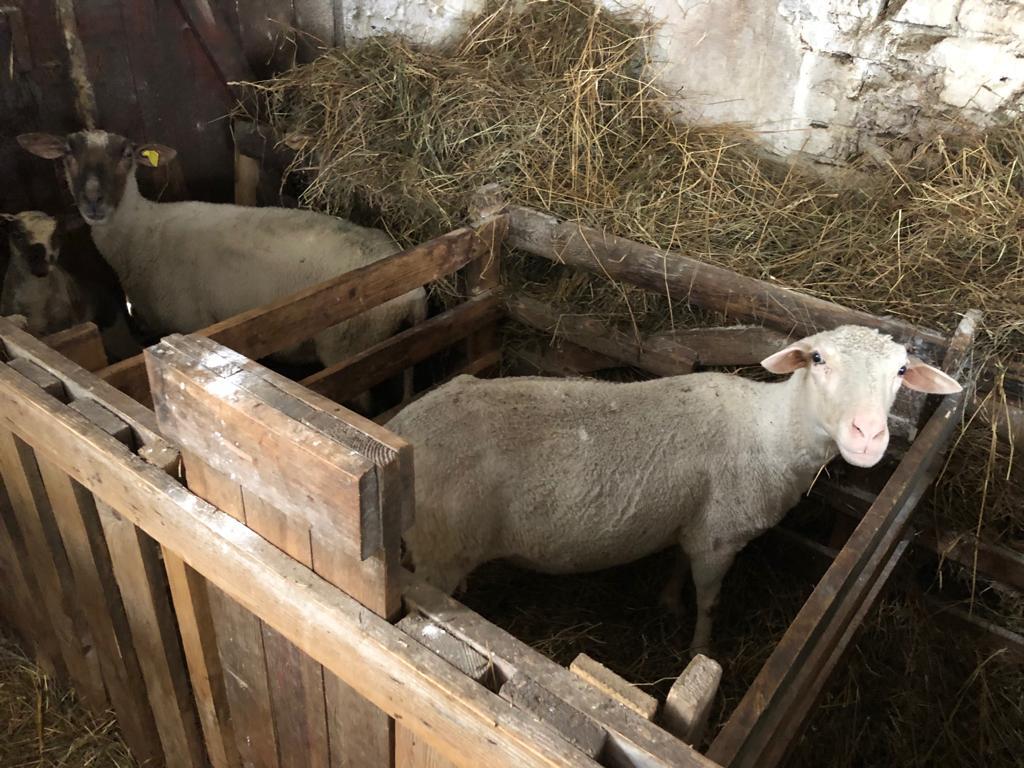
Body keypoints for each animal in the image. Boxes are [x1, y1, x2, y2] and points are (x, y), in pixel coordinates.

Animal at [17, 130, 427, 386]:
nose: (93, 202)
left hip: (349, 345)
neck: (139, 233)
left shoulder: (188, 322)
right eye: (68, 154)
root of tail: (416, 294)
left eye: (128, 155)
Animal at [386, 325, 963, 652]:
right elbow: (710, 602)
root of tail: (401, 428)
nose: (868, 436)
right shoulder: (722, 538)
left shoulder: (696, 524)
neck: (771, 430)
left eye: (902, 370)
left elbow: (677, 564)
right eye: (818, 360)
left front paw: (667, 600)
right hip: (439, 549)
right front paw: (699, 649)